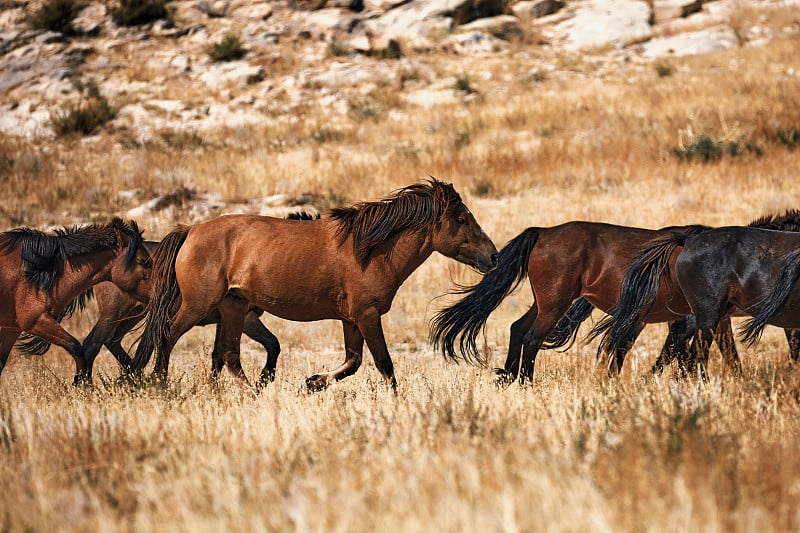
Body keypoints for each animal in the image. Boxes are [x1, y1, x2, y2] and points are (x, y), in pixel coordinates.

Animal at [130, 180, 494, 390]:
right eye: (461, 219)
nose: (492, 256)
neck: (370, 250)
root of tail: (191, 229)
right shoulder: (367, 315)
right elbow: (384, 364)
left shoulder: (351, 319)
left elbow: (352, 362)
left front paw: (313, 383)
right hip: (199, 304)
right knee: (168, 333)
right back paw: (159, 384)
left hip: (233, 307)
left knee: (230, 355)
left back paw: (253, 393)